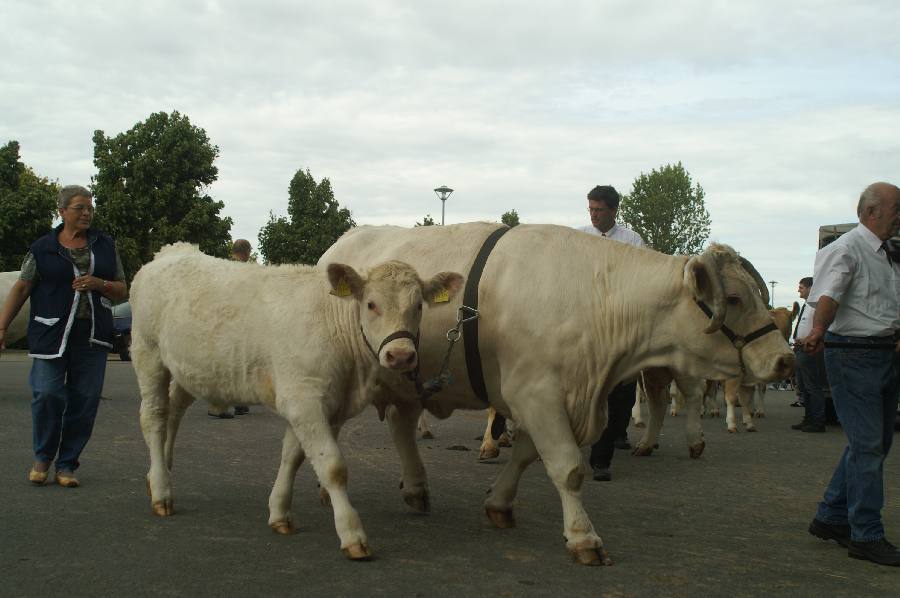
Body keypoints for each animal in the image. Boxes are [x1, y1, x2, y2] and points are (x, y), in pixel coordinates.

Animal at [130, 244, 464, 564]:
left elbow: (293, 455)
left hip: (189, 370)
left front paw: (279, 513)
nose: (401, 356)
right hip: (148, 353)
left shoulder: (314, 403)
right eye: (371, 304)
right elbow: (332, 467)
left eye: (418, 306)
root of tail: (174, 250)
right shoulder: (304, 398)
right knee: (154, 416)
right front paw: (352, 535)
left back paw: (160, 471)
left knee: (174, 410)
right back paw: (161, 491)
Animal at [318, 225, 796, 568]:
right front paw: (584, 538)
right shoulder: (536, 393)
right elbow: (568, 468)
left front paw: (499, 503)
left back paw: (416, 489)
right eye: (733, 298)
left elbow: (527, 455)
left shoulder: (551, 398)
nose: (785, 360)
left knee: (401, 425)